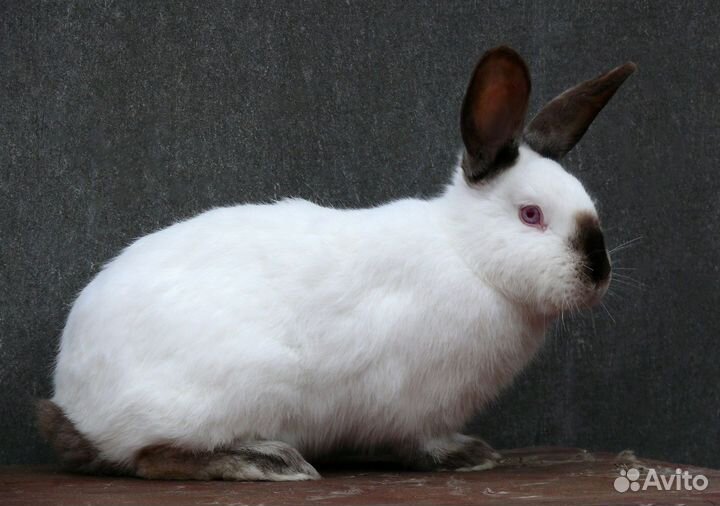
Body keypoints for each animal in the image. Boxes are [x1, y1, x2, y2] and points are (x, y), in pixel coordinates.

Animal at [37, 46, 635, 481]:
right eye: (531, 215)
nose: (598, 274)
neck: (467, 255)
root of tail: (74, 404)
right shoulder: (419, 404)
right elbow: (423, 441)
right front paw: (470, 456)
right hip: (222, 397)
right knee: (152, 457)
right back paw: (268, 461)